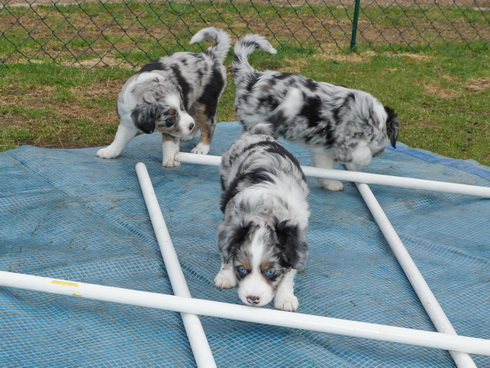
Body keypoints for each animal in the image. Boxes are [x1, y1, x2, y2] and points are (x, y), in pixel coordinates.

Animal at [98, 27, 233, 167]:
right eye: (170, 119)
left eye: (180, 109)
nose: (190, 125)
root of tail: (209, 56)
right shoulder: (127, 120)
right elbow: (120, 138)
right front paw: (109, 152)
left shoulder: (175, 124)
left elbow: (169, 142)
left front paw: (170, 160)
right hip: (193, 98)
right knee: (197, 119)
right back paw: (189, 134)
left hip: (205, 102)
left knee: (208, 125)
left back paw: (201, 148)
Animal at [233, 33, 398, 193]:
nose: (380, 153)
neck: (372, 118)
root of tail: (251, 76)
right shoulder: (345, 141)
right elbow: (363, 154)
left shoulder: (322, 147)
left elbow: (325, 168)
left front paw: (330, 184)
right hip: (255, 123)